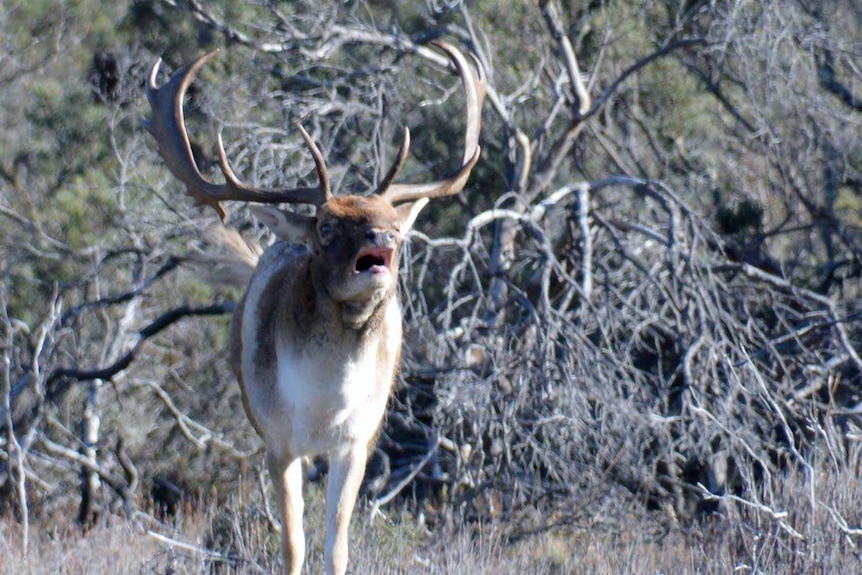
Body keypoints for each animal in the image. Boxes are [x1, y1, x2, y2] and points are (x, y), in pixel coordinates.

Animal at [145, 42, 485, 575]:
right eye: (326, 226)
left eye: (394, 222)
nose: (385, 237)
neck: (324, 406)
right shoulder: (278, 441)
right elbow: (293, 544)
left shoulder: (358, 441)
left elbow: (337, 544)